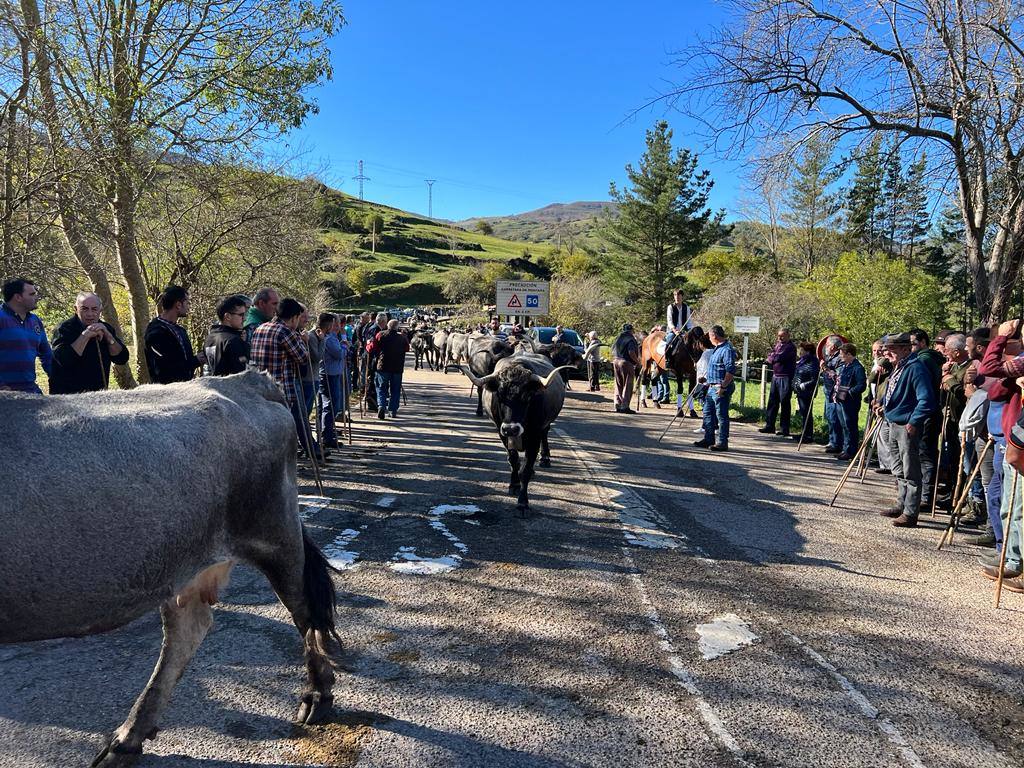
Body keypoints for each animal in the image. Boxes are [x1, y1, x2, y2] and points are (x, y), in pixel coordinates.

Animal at [0, 370, 344, 765]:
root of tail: (246, 380)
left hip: (276, 537)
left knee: (306, 614)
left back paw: (317, 695)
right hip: (183, 563)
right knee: (187, 630)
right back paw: (127, 739)